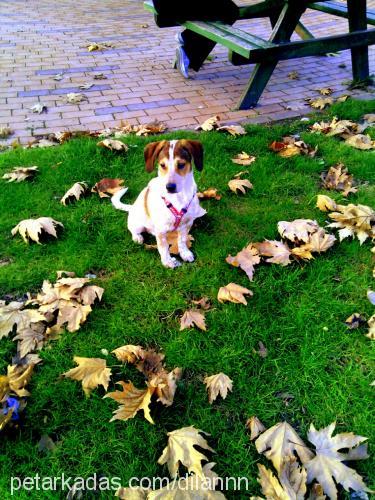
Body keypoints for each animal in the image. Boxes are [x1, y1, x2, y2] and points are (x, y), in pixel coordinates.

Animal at [111, 139, 206, 268]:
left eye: (181, 164)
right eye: (162, 165)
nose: (170, 187)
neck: (177, 198)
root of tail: (132, 207)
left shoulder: (187, 223)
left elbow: (181, 240)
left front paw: (185, 253)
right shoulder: (161, 230)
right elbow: (163, 247)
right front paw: (167, 262)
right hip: (137, 224)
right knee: (133, 230)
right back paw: (137, 237)